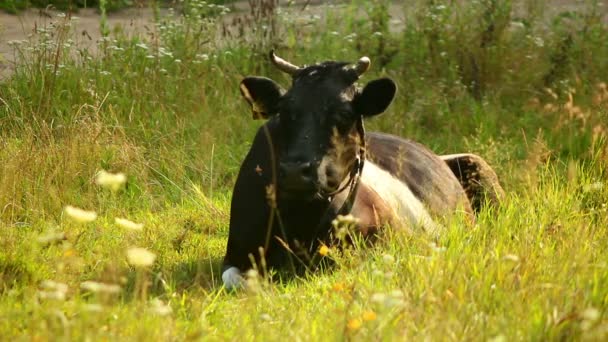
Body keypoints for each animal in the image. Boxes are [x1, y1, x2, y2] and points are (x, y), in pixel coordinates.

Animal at [221, 52, 502, 290]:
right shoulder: (236, 251)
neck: (299, 218)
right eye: (283, 112)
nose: (294, 171)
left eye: (345, 113)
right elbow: (236, 280)